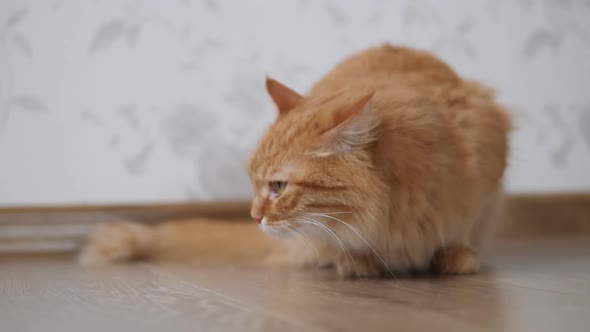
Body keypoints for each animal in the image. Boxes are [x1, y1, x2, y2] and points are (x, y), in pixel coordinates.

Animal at [80, 44, 512, 278]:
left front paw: (455, 255)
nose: (254, 216)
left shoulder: (484, 163)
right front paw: (355, 260)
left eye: (278, 186)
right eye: (255, 183)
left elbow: (459, 230)